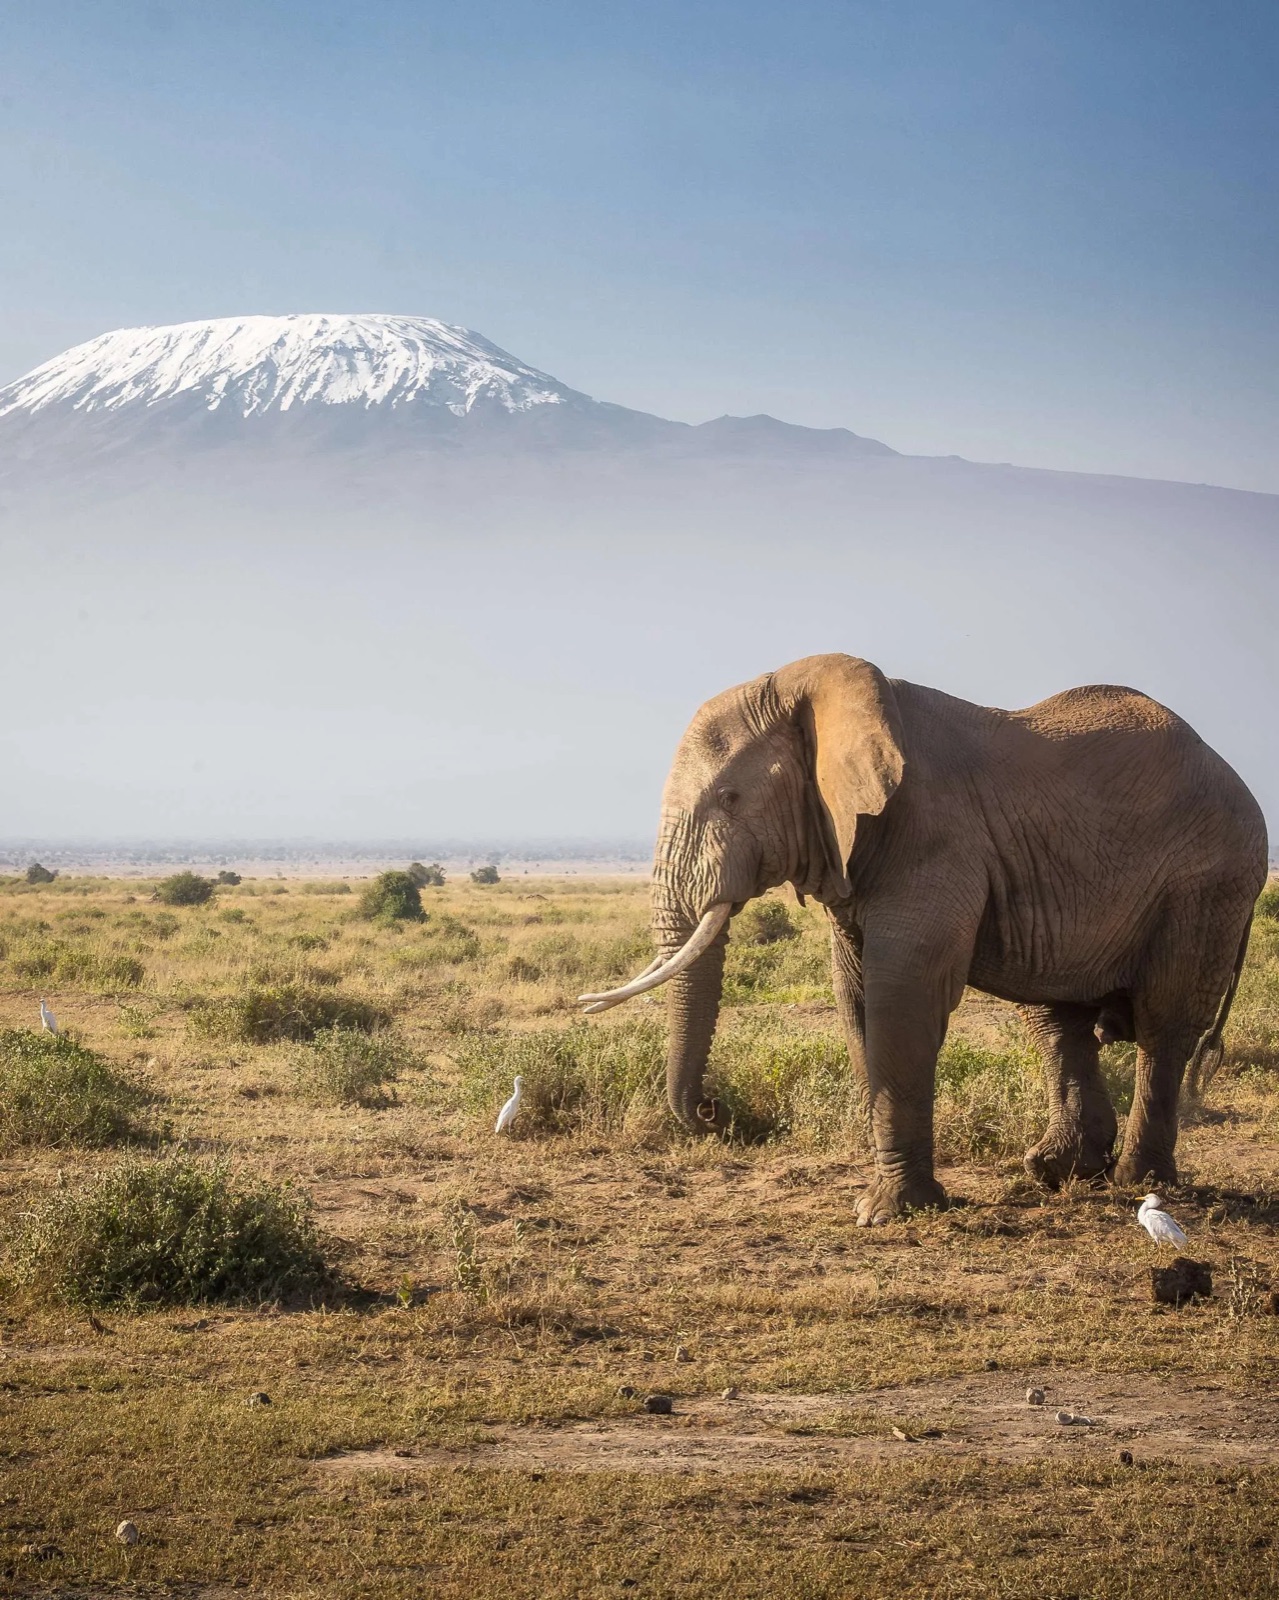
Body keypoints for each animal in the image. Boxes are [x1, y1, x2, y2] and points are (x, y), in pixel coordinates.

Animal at [580, 654, 1267, 1223]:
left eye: (729, 797)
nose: (714, 1112)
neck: (819, 689)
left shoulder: (934, 836)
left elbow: (901, 998)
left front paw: (886, 1214)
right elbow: (857, 997)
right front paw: (896, 1202)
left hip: (1208, 885)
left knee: (1163, 1026)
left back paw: (1137, 1184)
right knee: (1058, 1021)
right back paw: (1058, 1173)